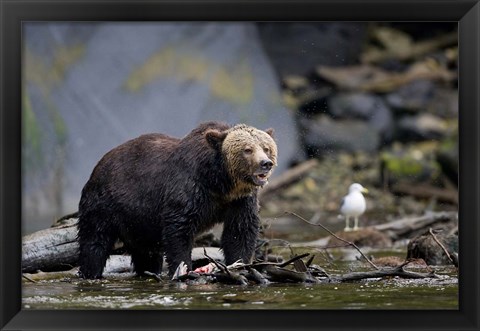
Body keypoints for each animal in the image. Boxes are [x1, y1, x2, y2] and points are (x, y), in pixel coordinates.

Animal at [78, 120, 278, 278]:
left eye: (266, 148)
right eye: (247, 149)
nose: (265, 163)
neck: (220, 182)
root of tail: (98, 165)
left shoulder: (240, 200)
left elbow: (240, 231)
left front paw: (240, 264)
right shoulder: (189, 188)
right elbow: (179, 229)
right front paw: (183, 269)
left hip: (138, 221)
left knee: (147, 252)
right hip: (106, 203)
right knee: (95, 242)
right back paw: (90, 272)